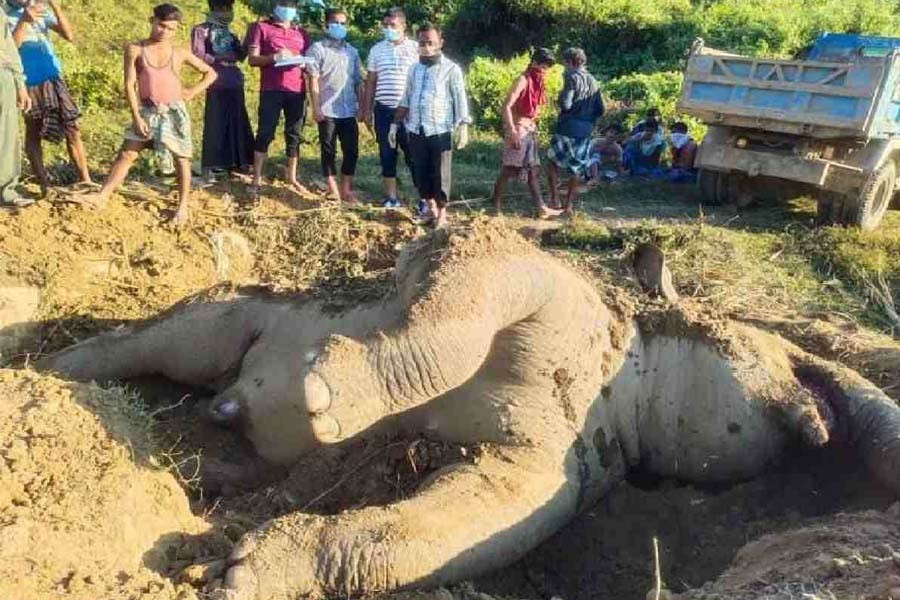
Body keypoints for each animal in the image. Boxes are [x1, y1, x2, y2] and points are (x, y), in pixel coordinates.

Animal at [38, 222, 900, 600]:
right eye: (769, 347)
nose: (828, 418)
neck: (627, 374)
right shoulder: (499, 262)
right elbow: (449, 316)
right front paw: (324, 399)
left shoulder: (548, 475)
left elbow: (433, 532)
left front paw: (240, 576)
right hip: (235, 312)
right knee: (159, 339)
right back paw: (45, 377)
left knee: (213, 417)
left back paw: (205, 450)